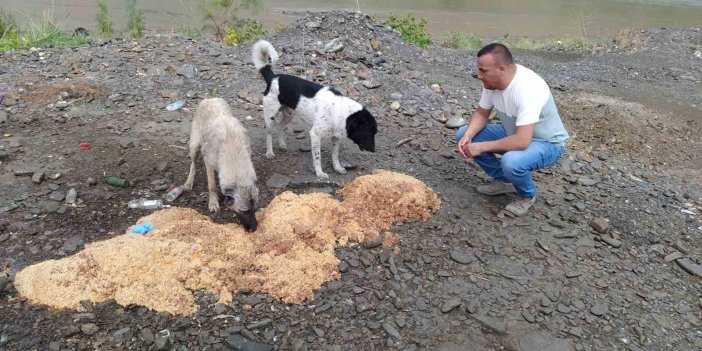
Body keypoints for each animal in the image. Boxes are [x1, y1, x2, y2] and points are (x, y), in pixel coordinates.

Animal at [183, 97, 260, 232]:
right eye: (244, 211)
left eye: (255, 210)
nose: (254, 229)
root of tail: (210, 98)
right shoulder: (208, 161)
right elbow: (212, 185)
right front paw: (213, 202)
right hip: (195, 145)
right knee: (193, 163)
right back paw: (189, 182)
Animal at [253, 40, 380, 180]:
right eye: (368, 132)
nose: (374, 150)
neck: (341, 111)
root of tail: (273, 78)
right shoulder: (315, 134)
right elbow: (317, 157)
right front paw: (319, 173)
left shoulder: (335, 137)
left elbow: (335, 155)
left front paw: (337, 168)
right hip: (270, 116)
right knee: (269, 133)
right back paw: (270, 152)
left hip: (289, 115)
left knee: (280, 127)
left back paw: (282, 145)